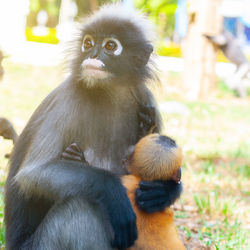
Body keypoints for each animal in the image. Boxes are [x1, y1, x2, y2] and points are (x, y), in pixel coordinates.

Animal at [3, 4, 176, 250]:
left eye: (110, 46)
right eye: (88, 43)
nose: (92, 55)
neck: (110, 92)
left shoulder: (146, 97)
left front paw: (164, 191)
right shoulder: (68, 98)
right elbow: (33, 173)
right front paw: (114, 192)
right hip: (39, 245)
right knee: (81, 206)